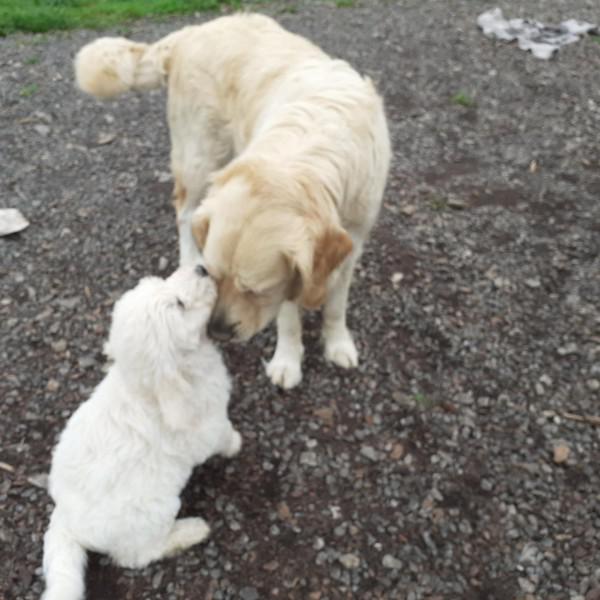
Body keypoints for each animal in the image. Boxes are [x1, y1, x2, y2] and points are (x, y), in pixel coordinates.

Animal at [40, 266, 241, 600]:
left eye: (164, 282)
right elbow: (223, 434)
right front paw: (236, 443)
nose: (201, 268)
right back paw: (190, 531)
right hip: (154, 512)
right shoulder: (207, 428)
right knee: (138, 556)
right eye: (180, 305)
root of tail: (65, 519)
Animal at [75, 15, 392, 390]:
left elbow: (335, 304)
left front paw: (338, 343)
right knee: (185, 212)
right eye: (213, 275)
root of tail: (192, 31)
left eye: (255, 290)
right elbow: (289, 314)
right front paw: (287, 360)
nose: (217, 331)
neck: (313, 148)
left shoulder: (353, 242)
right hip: (198, 157)